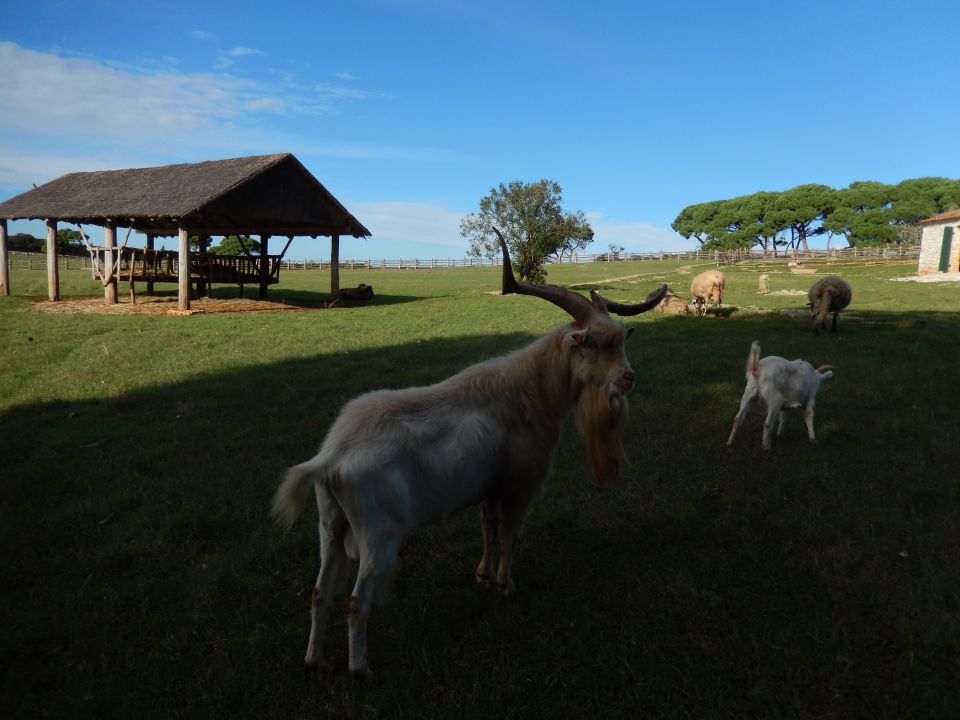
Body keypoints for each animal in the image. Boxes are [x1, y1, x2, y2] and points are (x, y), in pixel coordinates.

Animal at [272, 228, 668, 676]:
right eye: (594, 342)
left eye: (621, 339)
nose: (628, 378)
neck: (530, 392)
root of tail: (332, 458)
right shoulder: (521, 487)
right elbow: (510, 536)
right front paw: (506, 585)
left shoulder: (487, 490)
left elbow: (488, 530)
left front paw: (481, 576)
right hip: (379, 536)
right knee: (357, 601)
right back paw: (361, 670)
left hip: (330, 525)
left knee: (320, 592)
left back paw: (316, 660)